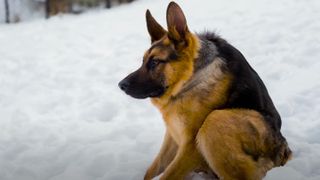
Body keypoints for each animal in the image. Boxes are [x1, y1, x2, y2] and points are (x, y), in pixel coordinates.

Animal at [119, 1, 292, 180]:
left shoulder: (190, 147)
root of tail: (284, 152)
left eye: (154, 62)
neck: (190, 79)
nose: (121, 85)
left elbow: (168, 175)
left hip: (215, 121)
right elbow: (152, 170)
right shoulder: (172, 135)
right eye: (143, 61)